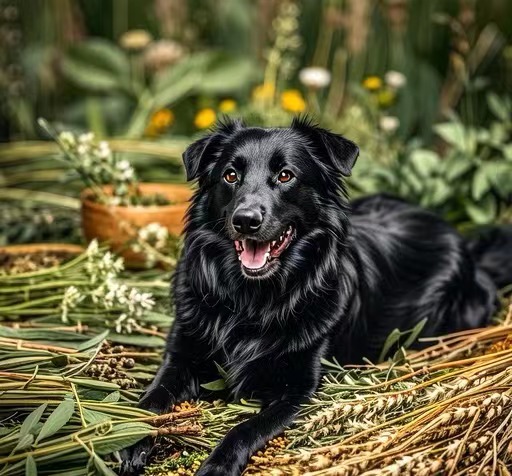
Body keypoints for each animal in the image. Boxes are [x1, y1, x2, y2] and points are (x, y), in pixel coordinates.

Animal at [123, 116, 512, 476]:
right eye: (230, 176)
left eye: (286, 176)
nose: (245, 220)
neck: (252, 298)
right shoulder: (180, 357)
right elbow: (149, 401)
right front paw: (130, 438)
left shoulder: (296, 389)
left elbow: (246, 428)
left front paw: (218, 463)